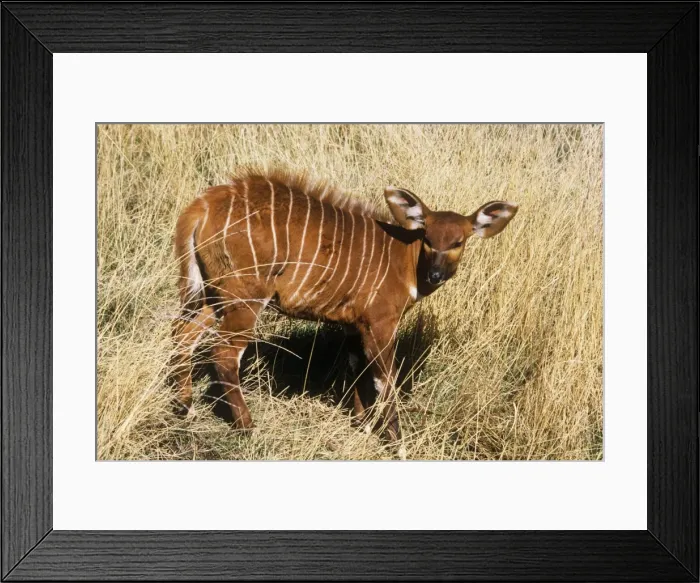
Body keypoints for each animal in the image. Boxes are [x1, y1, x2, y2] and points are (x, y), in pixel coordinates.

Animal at [170, 168, 518, 452]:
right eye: (428, 238)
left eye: (458, 242)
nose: (435, 275)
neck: (403, 259)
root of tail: (202, 205)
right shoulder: (381, 323)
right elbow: (385, 380)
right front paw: (398, 445)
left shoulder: (355, 325)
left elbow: (355, 367)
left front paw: (362, 426)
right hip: (246, 298)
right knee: (224, 353)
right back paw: (248, 427)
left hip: (212, 294)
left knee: (182, 333)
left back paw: (184, 407)